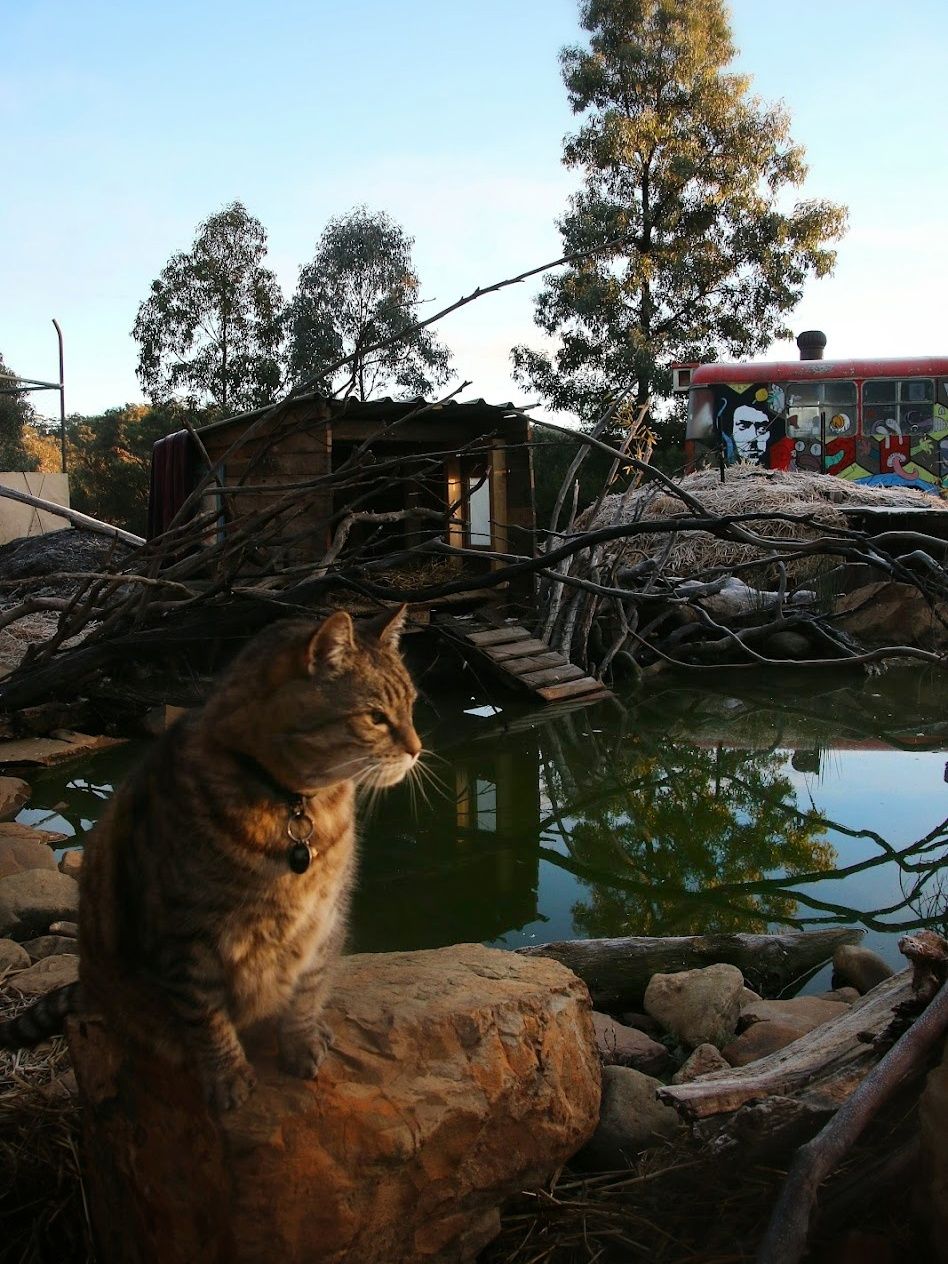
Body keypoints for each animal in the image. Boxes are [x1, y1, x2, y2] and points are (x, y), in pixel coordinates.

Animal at [0, 606, 419, 1112]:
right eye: (375, 717)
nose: (417, 749)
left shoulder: (324, 918)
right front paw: (229, 1075)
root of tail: (89, 982)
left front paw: (301, 1043)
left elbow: (305, 990)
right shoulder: (184, 934)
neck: (293, 804)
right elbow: (206, 1016)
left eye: (412, 705)